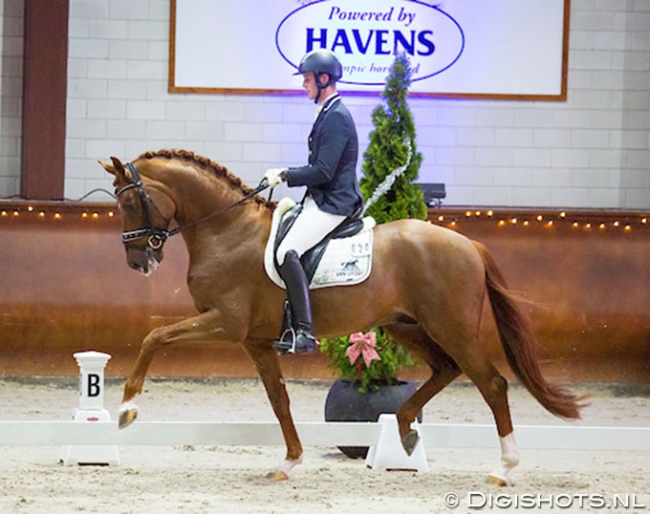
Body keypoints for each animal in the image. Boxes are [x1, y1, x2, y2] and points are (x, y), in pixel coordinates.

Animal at [100, 149, 584, 484]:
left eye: (129, 204)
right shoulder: (255, 341)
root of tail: (469, 244)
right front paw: (289, 461)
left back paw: (504, 467)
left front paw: (126, 409)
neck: (228, 231)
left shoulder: (226, 323)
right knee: (445, 370)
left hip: (453, 327)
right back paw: (404, 428)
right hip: (404, 326)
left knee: (492, 383)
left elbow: (155, 337)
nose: (137, 263)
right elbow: (279, 400)